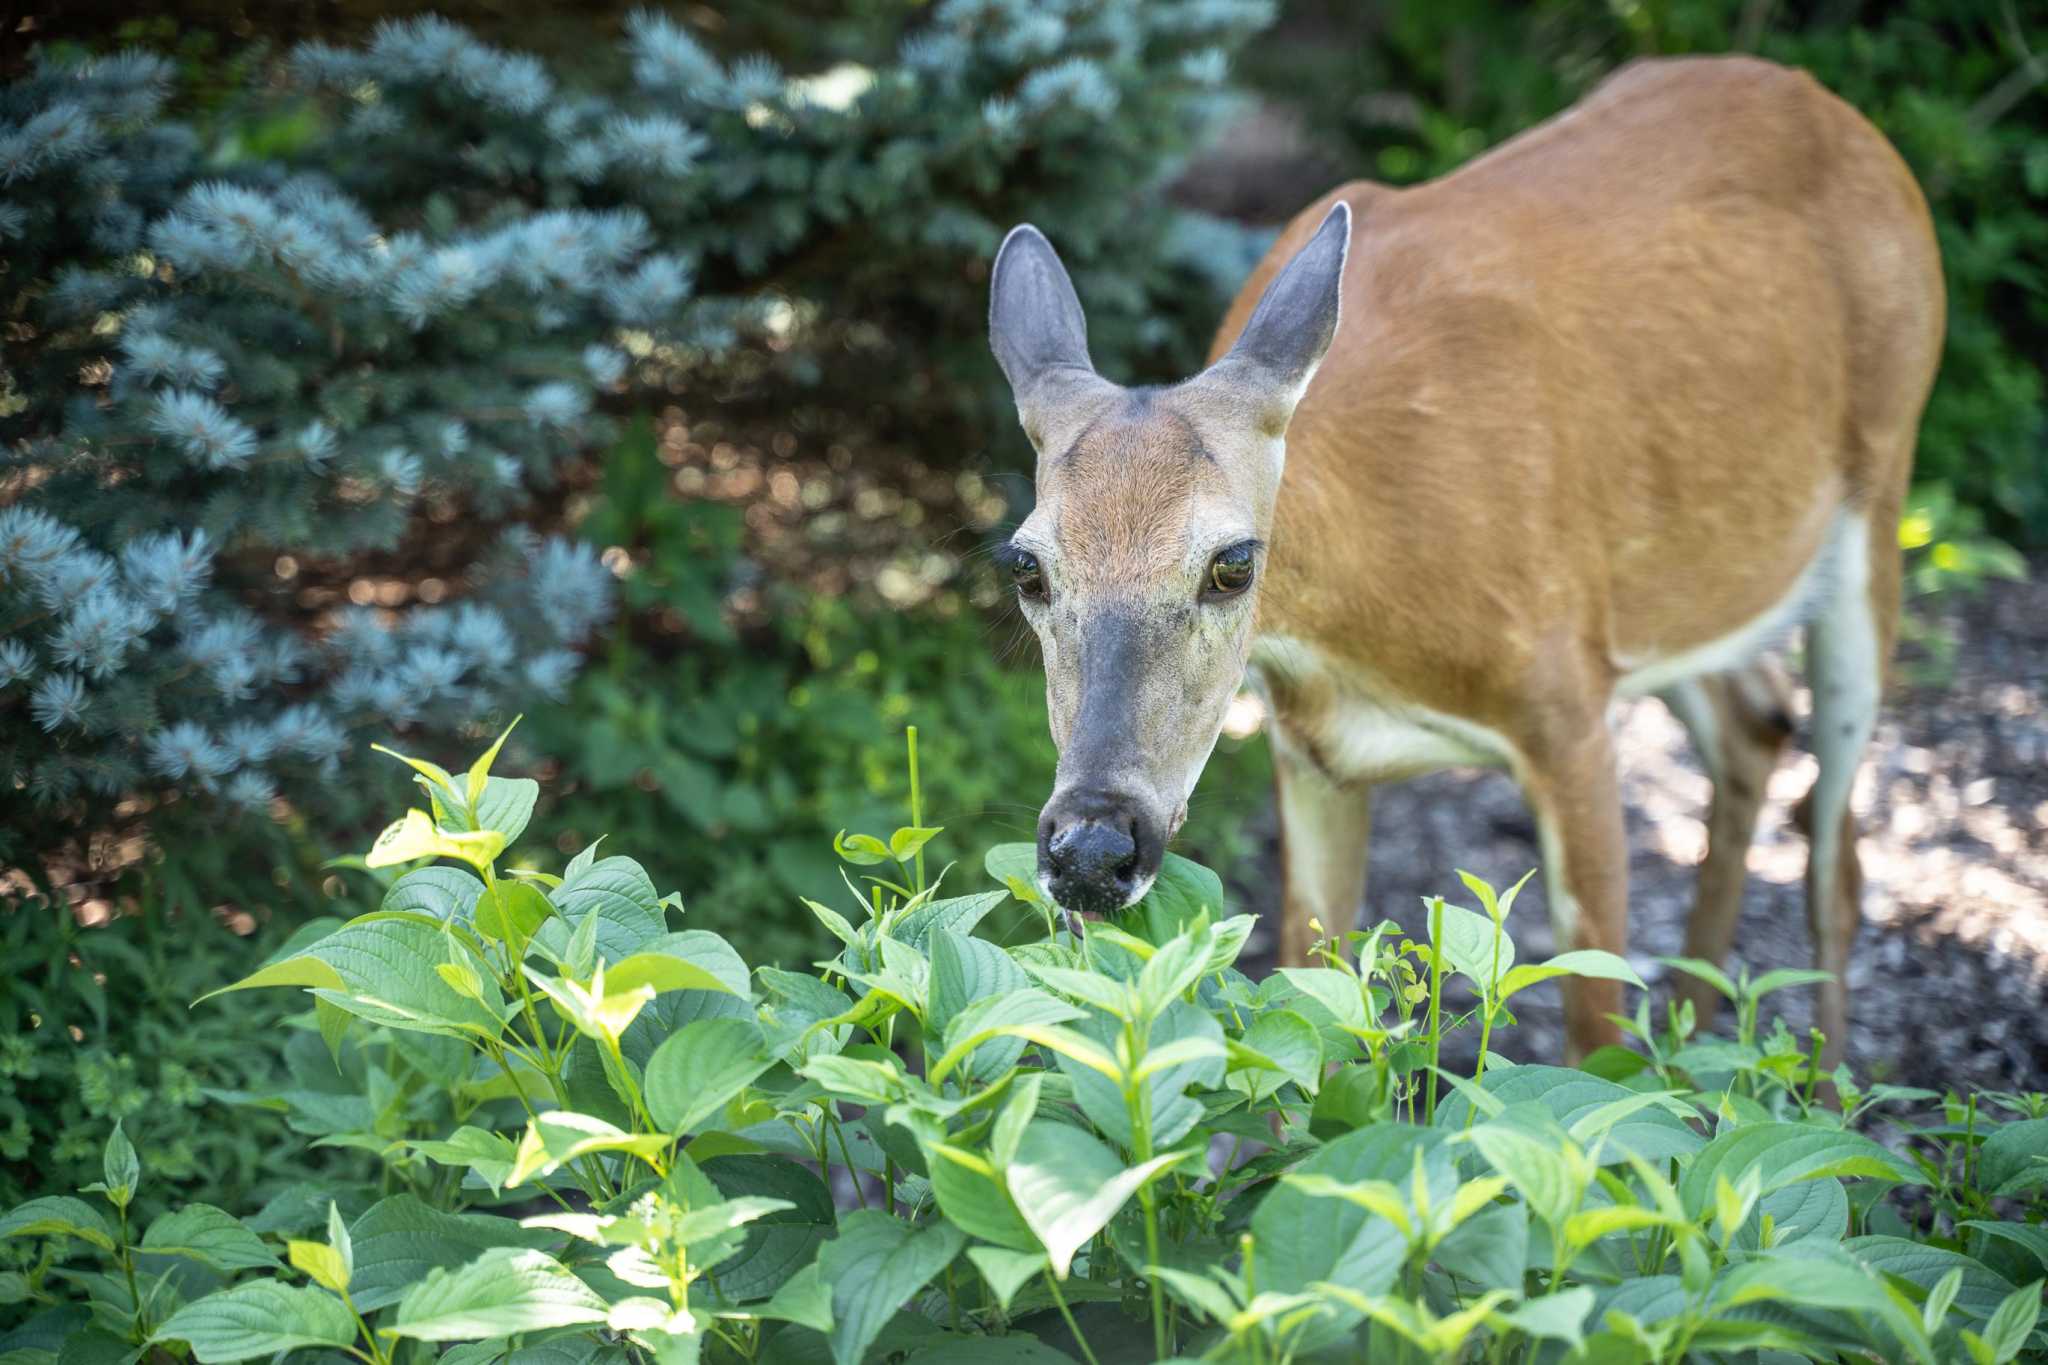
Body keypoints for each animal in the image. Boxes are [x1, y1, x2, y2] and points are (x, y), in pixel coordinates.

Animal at [985, 55, 1944, 1066]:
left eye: (1233, 563)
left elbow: (1593, 1038)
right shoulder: (1309, 751)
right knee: (1755, 724)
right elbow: (1312, 1009)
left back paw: (1819, 1086)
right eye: (1026, 567)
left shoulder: (1569, 712)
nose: (1092, 849)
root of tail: (1846, 118)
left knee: (1839, 859)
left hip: (1879, 501)